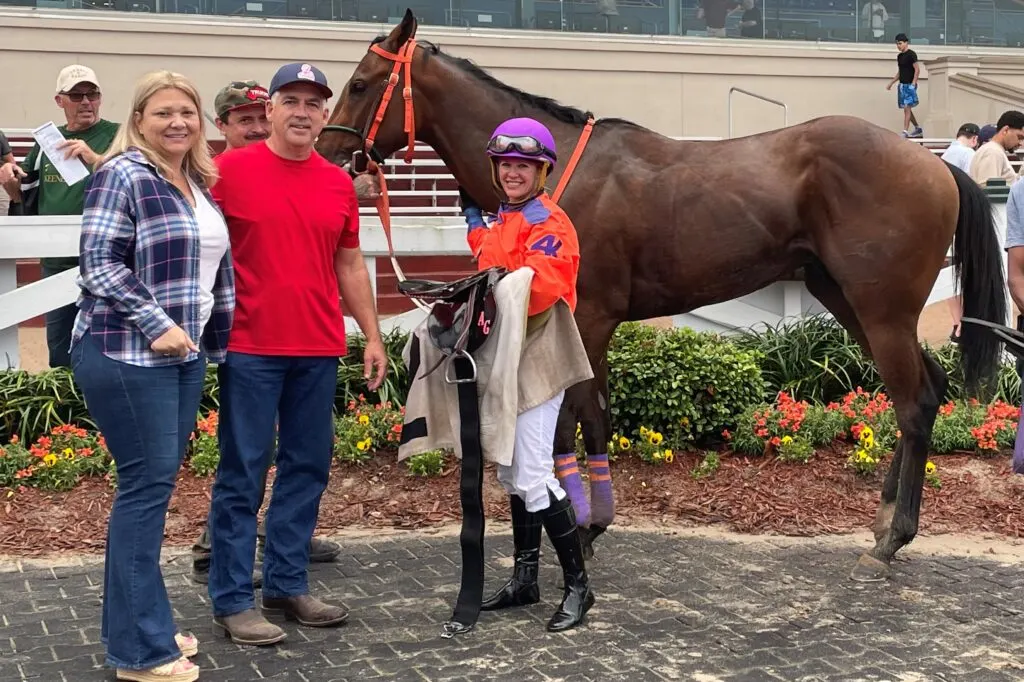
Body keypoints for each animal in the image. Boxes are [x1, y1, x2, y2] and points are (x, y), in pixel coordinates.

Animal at [315, 9, 1003, 577]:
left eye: (360, 82)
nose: (325, 149)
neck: (555, 172)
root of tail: (936, 165)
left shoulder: (589, 316)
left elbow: (575, 418)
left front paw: (584, 527)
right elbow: (586, 415)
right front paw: (584, 523)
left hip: (881, 307)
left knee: (913, 402)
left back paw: (892, 537)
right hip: (847, 298)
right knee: (927, 388)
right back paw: (887, 519)